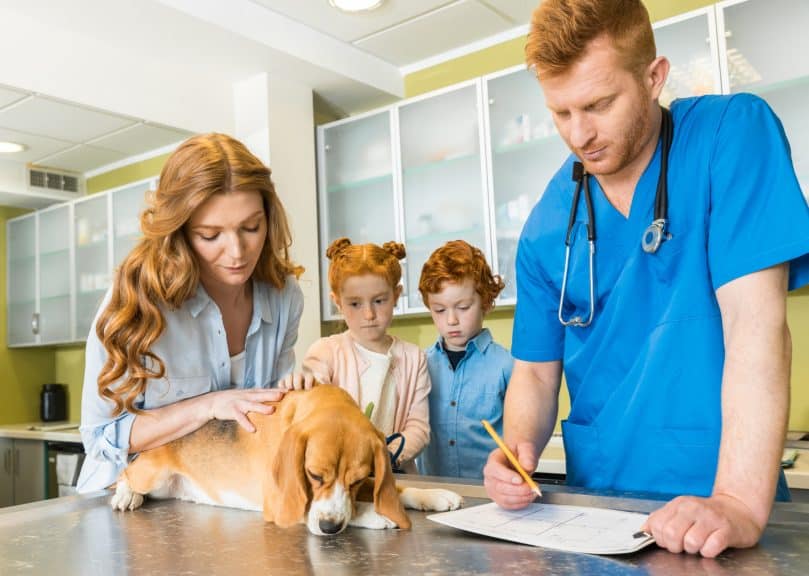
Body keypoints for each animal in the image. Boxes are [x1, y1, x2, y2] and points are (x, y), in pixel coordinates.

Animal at [109, 382, 460, 536]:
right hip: (151, 473)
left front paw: (431, 495)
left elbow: (392, 488)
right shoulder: (282, 503)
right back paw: (126, 495)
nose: (330, 528)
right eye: (314, 476)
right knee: (124, 475)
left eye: (358, 479)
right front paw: (374, 515)